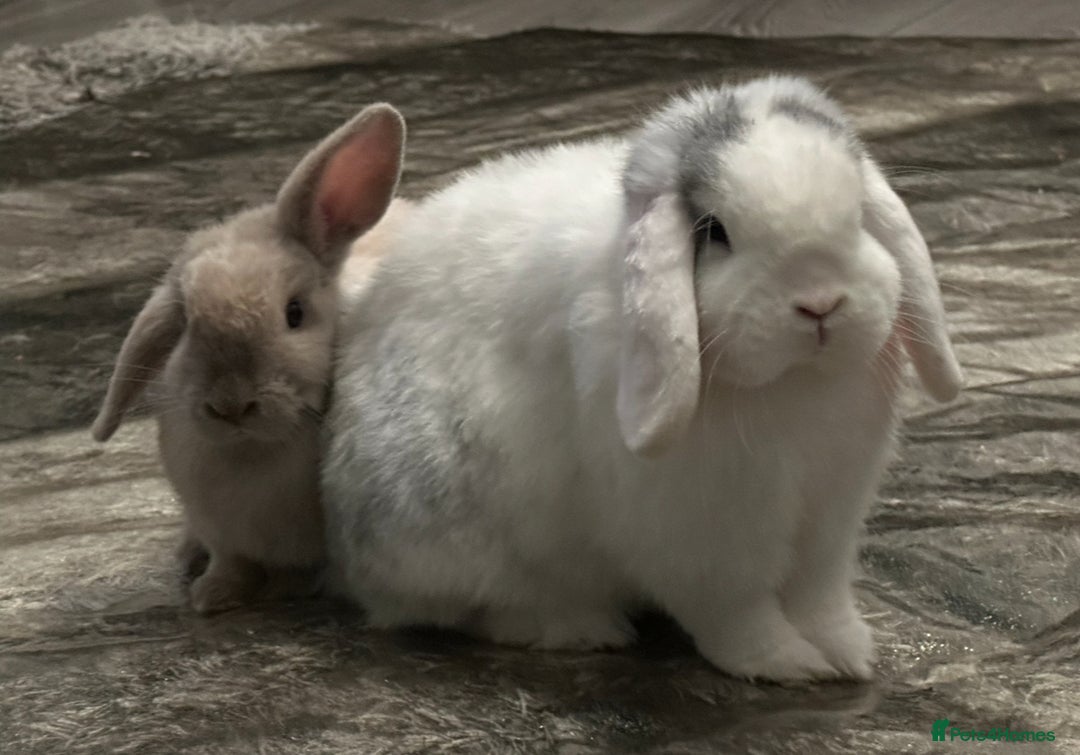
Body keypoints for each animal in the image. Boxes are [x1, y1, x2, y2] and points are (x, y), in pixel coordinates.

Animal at [92, 103, 406, 614]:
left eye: (295, 314)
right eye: (184, 321)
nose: (231, 405)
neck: (255, 452)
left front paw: (282, 589)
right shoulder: (222, 533)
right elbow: (230, 564)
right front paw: (211, 597)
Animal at [322, 76, 963, 682]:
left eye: (857, 218)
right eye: (715, 231)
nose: (820, 304)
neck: (793, 383)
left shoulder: (828, 521)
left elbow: (818, 599)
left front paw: (850, 655)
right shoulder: (705, 539)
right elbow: (738, 613)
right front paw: (788, 664)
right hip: (458, 532)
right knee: (474, 606)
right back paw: (579, 628)